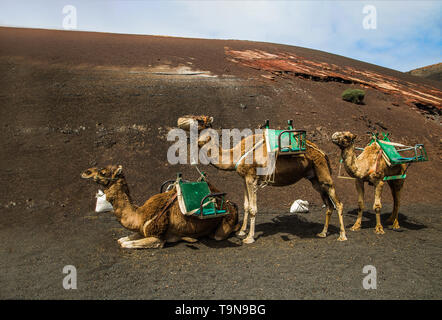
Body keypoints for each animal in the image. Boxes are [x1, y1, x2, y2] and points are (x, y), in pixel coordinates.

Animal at [79, 164, 238, 249]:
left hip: (222, 228)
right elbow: (122, 240)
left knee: (218, 235)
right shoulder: (142, 229)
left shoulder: (158, 238)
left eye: (103, 172)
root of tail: (230, 204)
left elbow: (126, 244)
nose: (85, 172)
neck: (139, 215)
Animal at [177, 116, 348, 244]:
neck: (236, 154)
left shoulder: (252, 178)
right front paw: (241, 232)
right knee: (329, 205)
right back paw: (323, 233)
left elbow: (253, 208)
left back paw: (342, 236)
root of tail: (323, 153)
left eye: (199, 120)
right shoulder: (244, 178)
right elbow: (246, 205)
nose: (180, 121)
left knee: (338, 203)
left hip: (323, 174)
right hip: (314, 179)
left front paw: (249, 238)